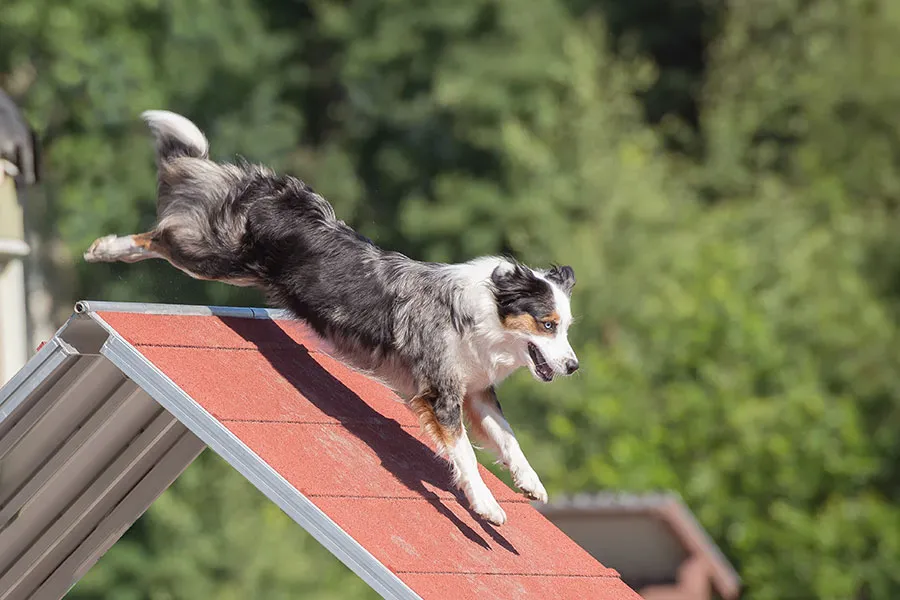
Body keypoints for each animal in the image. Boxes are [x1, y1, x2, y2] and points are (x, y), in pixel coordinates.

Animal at [82, 110, 576, 524]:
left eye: (567, 328)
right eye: (548, 324)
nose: (573, 366)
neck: (483, 314)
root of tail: (273, 189)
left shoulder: (475, 391)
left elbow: (509, 439)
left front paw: (531, 484)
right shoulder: (441, 393)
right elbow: (467, 456)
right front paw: (487, 507)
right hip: (215, 257)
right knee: (160, 234)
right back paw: (105, 247)